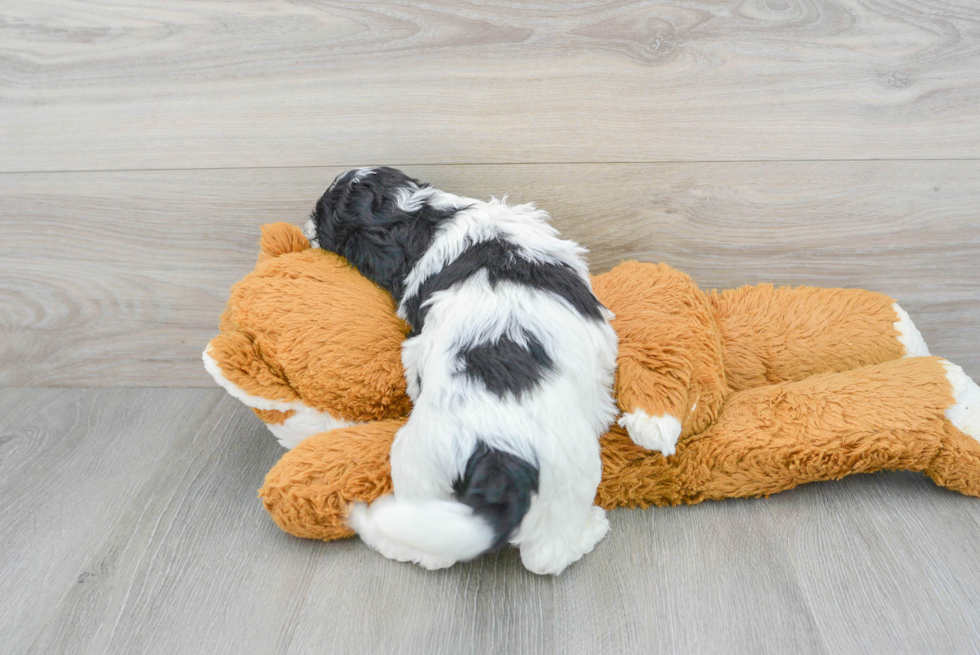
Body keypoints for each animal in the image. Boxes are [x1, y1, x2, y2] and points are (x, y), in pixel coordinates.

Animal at [306, 168, 616, 576]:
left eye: (322, 216)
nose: (305, 226)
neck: (427, 218)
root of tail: (497, 453)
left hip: (430, 467)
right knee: (541, 556)